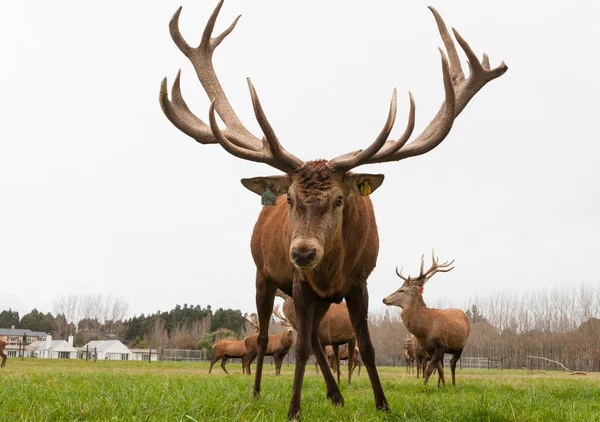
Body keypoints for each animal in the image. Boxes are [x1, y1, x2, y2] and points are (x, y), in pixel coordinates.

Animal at [382, 252, 472, 388]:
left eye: (401, 290)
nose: (384, 299)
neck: (425, 329)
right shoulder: (428, 348)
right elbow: (439, 368)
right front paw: (443, 385)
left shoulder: (440, 345)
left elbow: (430, 368)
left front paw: (424, 386)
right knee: (447, 364)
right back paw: (444, 384)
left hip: (461, 345)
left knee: (452, 363)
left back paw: (454, 384)